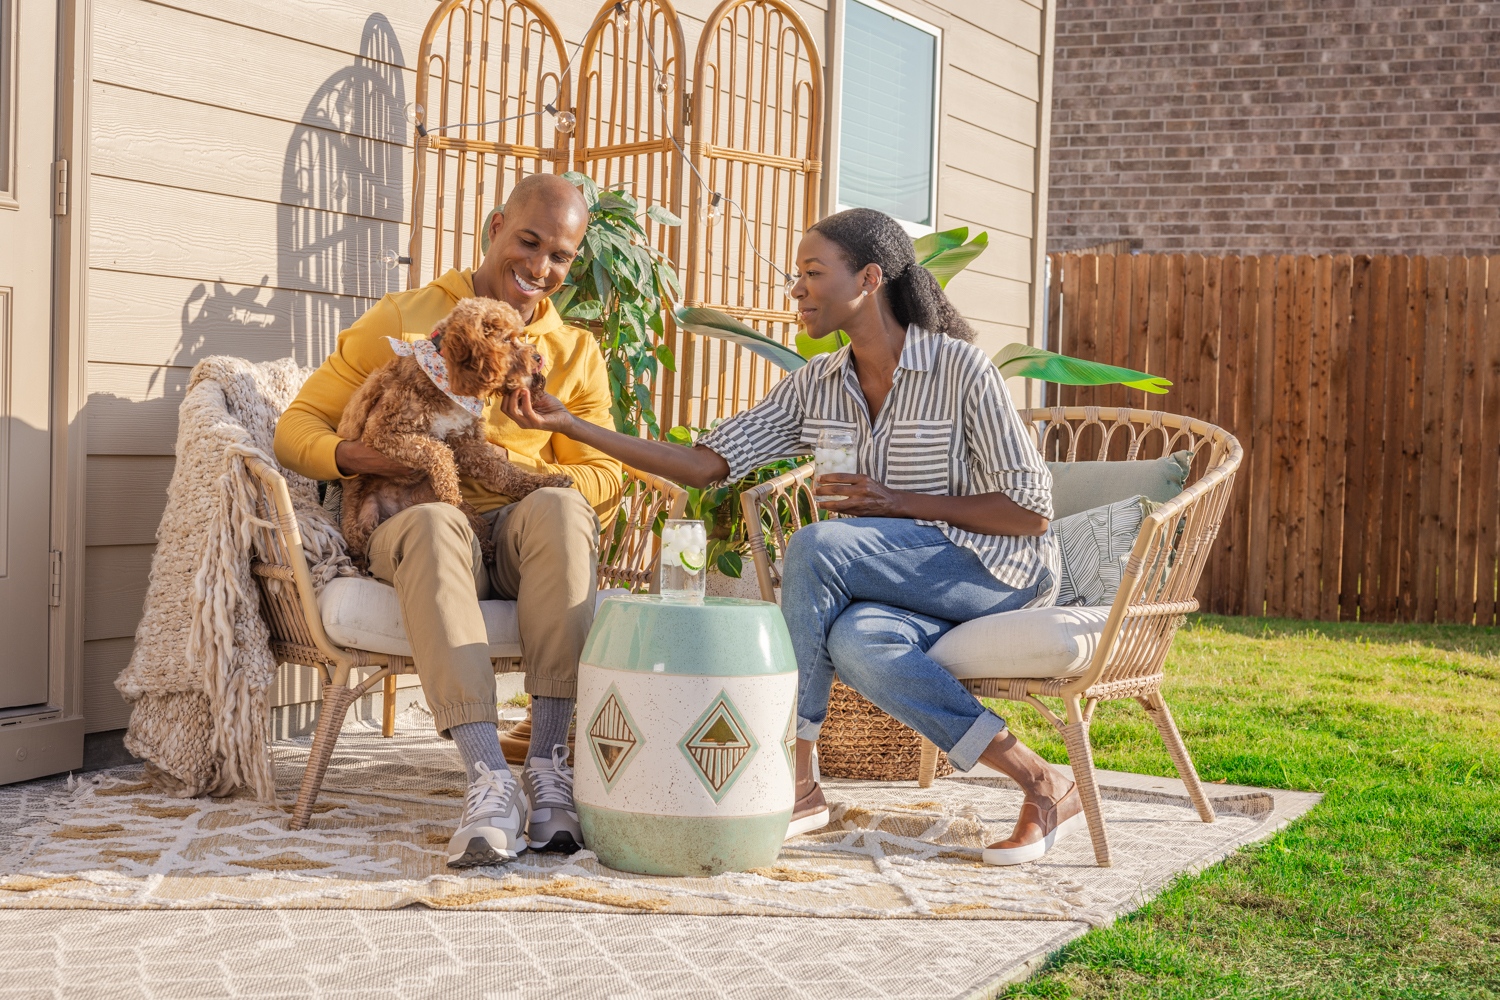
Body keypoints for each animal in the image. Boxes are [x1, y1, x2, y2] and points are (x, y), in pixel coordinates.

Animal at [337, 295, 570, 569]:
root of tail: (397, 507)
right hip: (359, 523)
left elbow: (506, 472)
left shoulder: (468, 445)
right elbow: (439, 452)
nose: (537, 357)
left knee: (477, 527)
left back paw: (487, 549)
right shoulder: (382, 433)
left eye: (520, 336)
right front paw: (449, 496)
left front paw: (548, 482)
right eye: (506, 339)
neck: (446, 382)